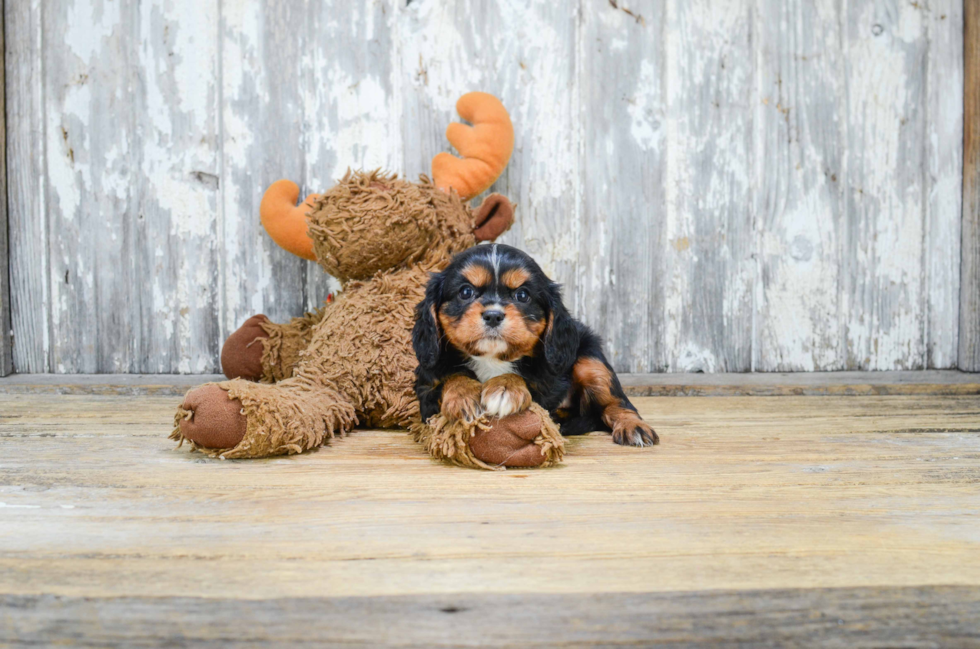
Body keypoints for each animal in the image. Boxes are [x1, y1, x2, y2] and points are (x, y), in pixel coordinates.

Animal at [414, 242, 660, 446]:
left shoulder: (549, 385)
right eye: (466, 292)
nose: (493, 315)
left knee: (619, 403)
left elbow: (527, 380)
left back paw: (634, 427)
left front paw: (505, 388)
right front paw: (464, 395)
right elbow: (450, 377)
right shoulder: (426, 390)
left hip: (590, 359)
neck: (492, 359)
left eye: (523, 295)